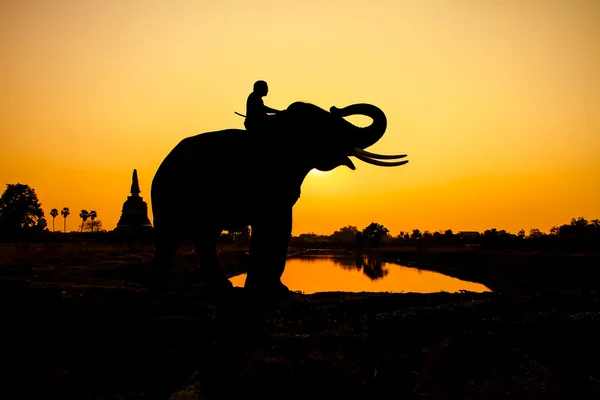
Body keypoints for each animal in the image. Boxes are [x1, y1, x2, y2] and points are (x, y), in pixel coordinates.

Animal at [148, 102, 408, 304]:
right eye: (324, 126)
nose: (337, 107)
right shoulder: (269, 179)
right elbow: (276, 224)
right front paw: (271, 294)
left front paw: (270, 291)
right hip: (173, 195)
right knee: (177, 236)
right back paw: (167, 289)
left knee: (199, 238)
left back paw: (210, 290)